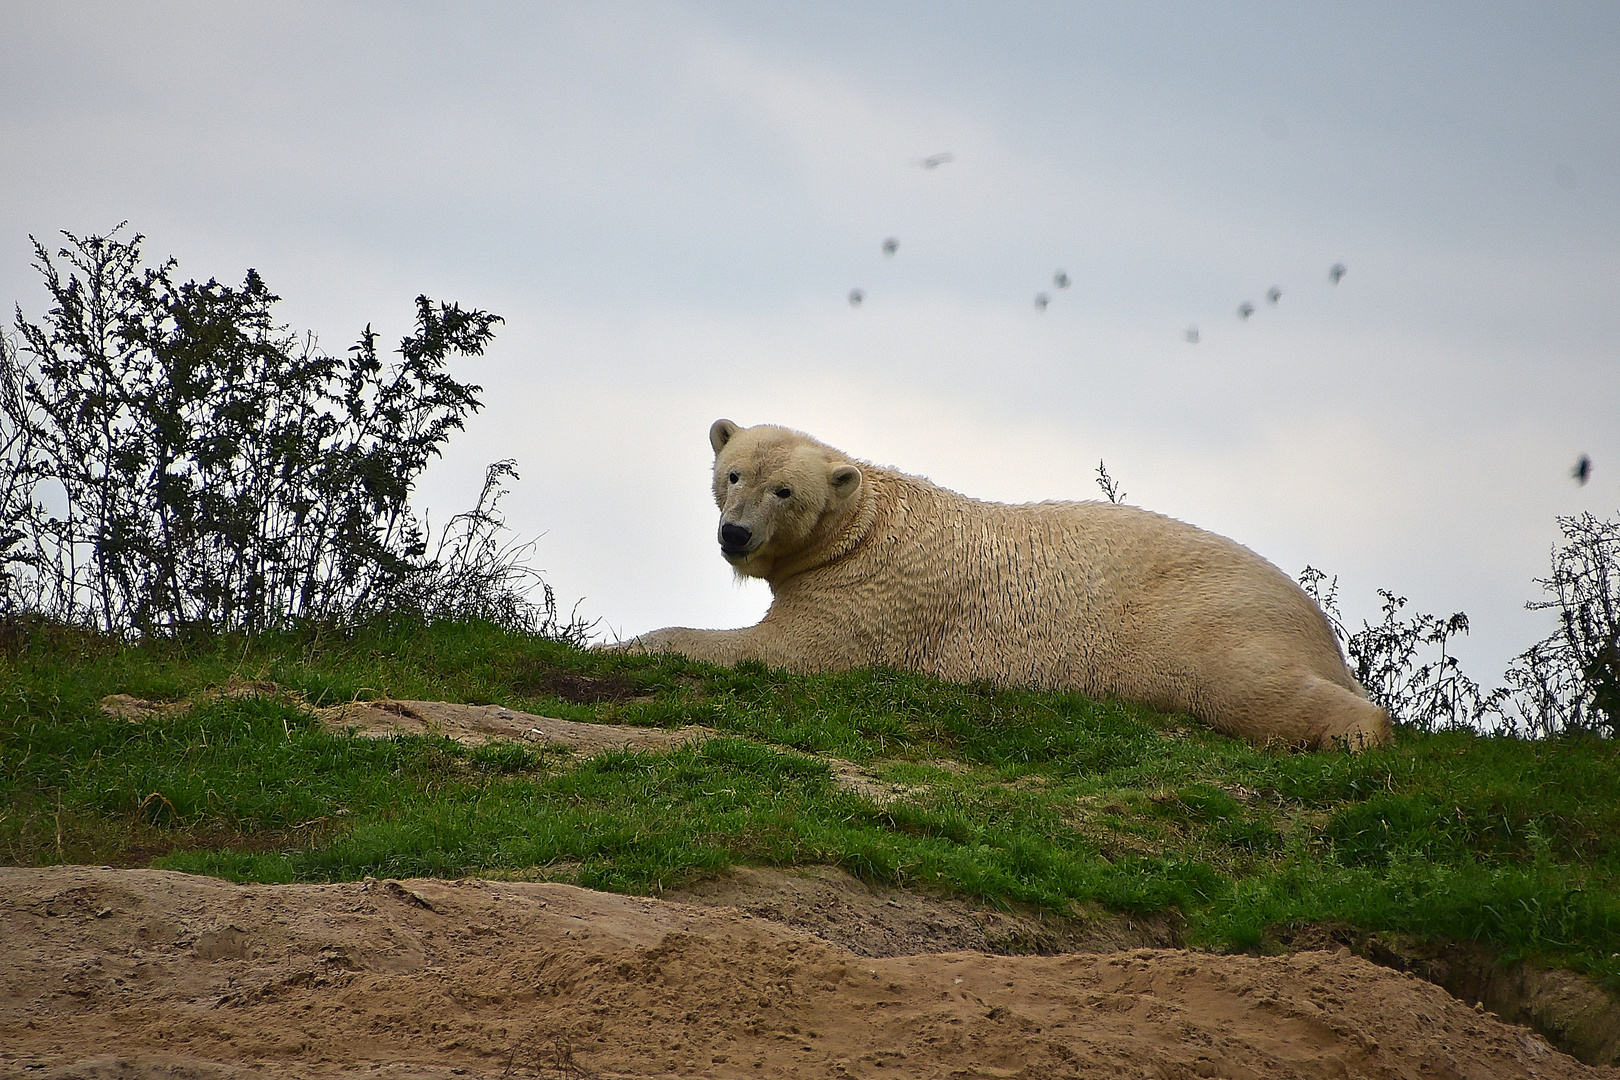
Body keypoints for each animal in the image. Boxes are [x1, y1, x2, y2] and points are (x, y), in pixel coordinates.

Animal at [618, 417, 1393, 757]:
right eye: (734, 474)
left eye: (784, 490)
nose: (735, 536)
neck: (864, 525)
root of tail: (1322, 630)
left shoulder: (870, 595)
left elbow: (792, 651)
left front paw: (636, 643)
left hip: (1202, 616)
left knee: (1241, 681)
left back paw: (1356, 736)